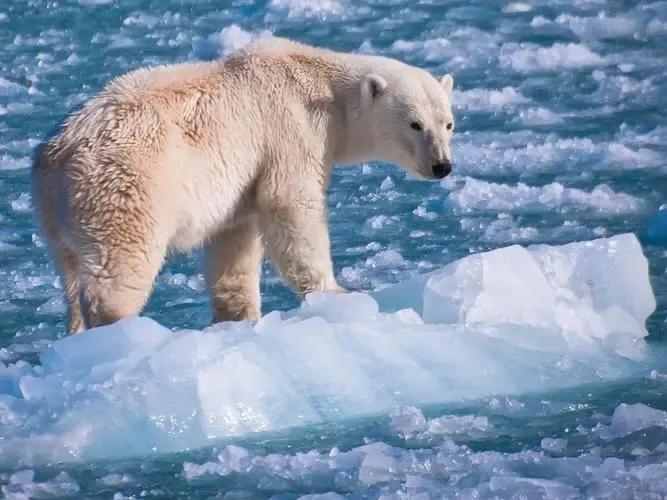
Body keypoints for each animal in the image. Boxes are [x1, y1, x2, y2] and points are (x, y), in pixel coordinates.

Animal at [34, 36, 456, 332]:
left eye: (448, 123)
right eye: (415, 124)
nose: (442, 166)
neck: (320, 86)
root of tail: (58, 154)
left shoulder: (242, 182)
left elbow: (234, 244)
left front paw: (238, 316)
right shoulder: (288, 132)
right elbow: (292, 208)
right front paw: (339, 294)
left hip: (57, 215)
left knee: (71, 275)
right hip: (128, 185)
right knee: (119, 265)